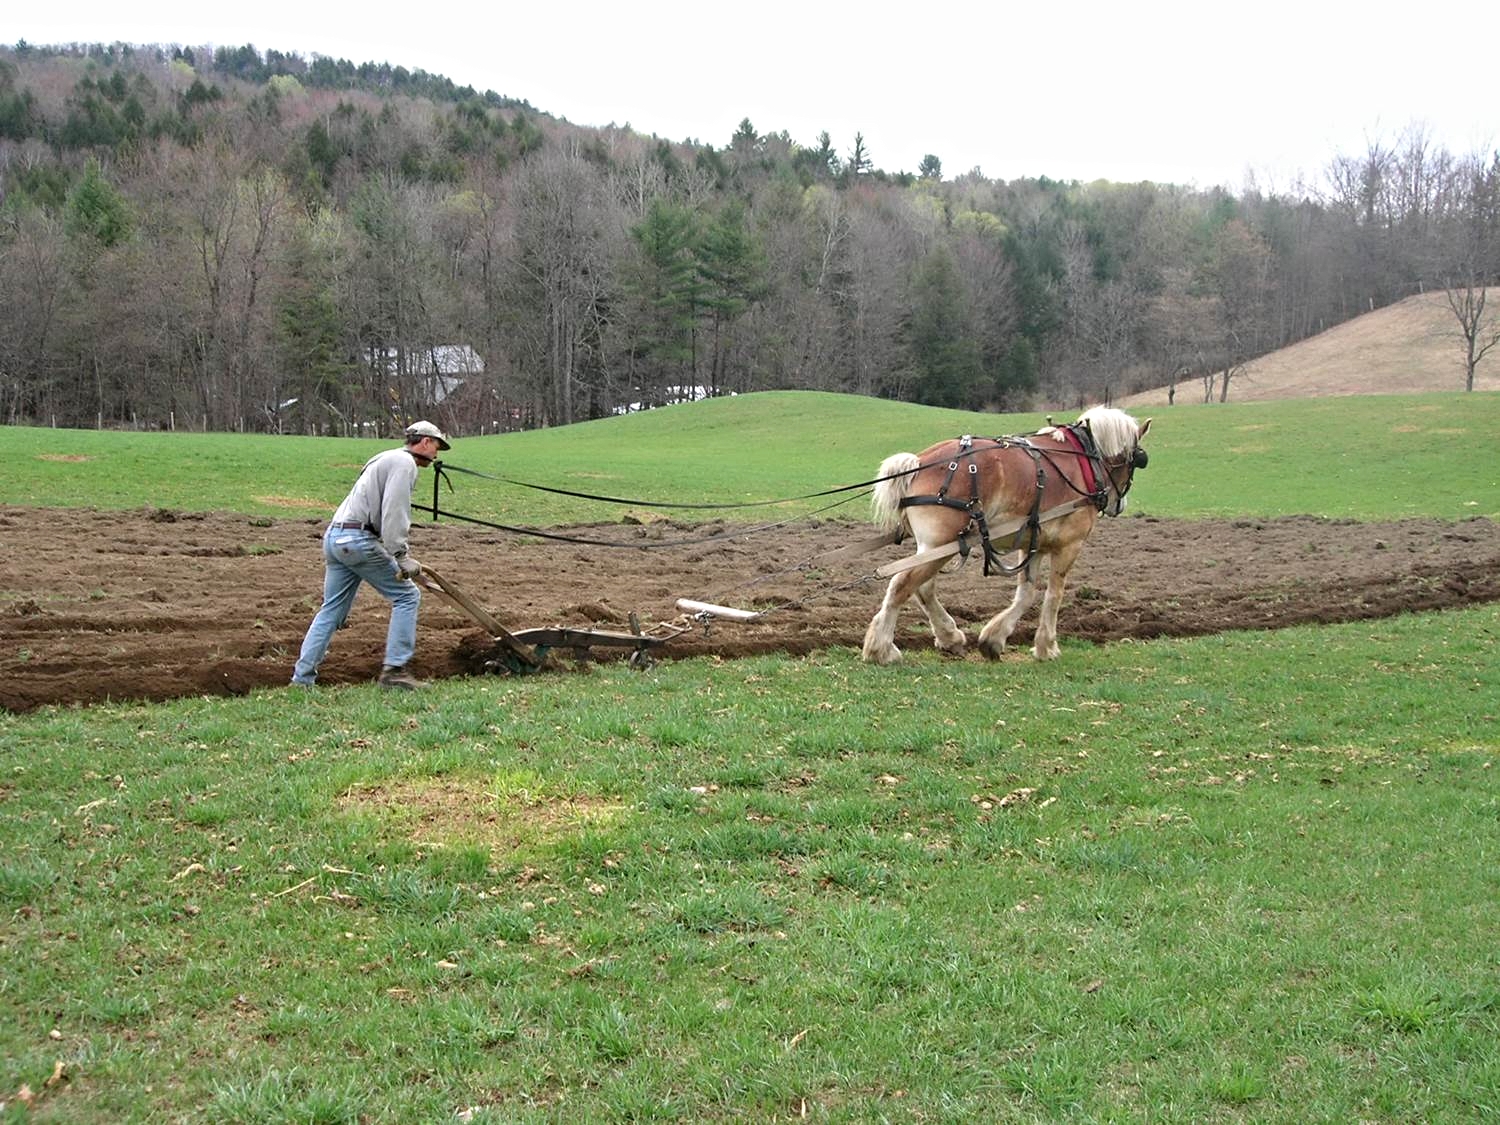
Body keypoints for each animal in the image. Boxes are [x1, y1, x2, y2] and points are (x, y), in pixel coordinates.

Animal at [864, 408, 1152, 666]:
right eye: (1137, 461)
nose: (1119, 505)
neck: (1084, 462)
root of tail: (918, 463)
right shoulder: (1070, 544)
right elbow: (1054, 594)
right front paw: (1047, 646)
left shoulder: (1033, 543)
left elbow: (1027, 593)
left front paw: (993, 640)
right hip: (940, 544)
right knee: (902, 585)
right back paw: (882, 649)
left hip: (935, 546)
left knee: (922, 587)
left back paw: (949, 637)